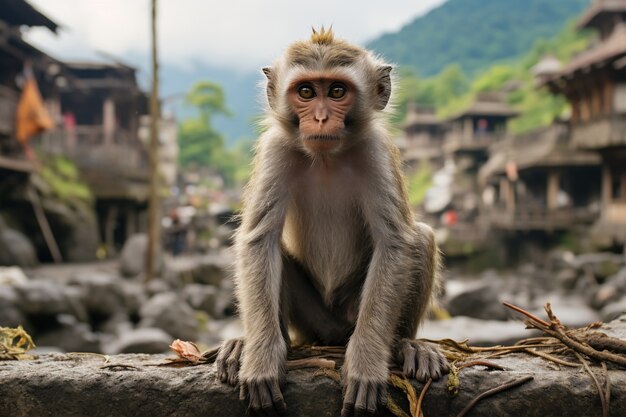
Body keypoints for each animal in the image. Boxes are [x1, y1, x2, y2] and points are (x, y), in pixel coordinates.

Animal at [216, 27, 448, 414]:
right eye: (306, 92)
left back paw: (407, 345)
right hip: (314, 321)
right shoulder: (276, 149)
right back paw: (246, 346)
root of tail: (334, 332)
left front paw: (366, 362)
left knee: (422, 237)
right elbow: (260, 240)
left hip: (350, 310)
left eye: (337, 91)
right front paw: (262, 359)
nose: (322, 118)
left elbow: (395, 242)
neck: (327, 158)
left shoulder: (375, 150)